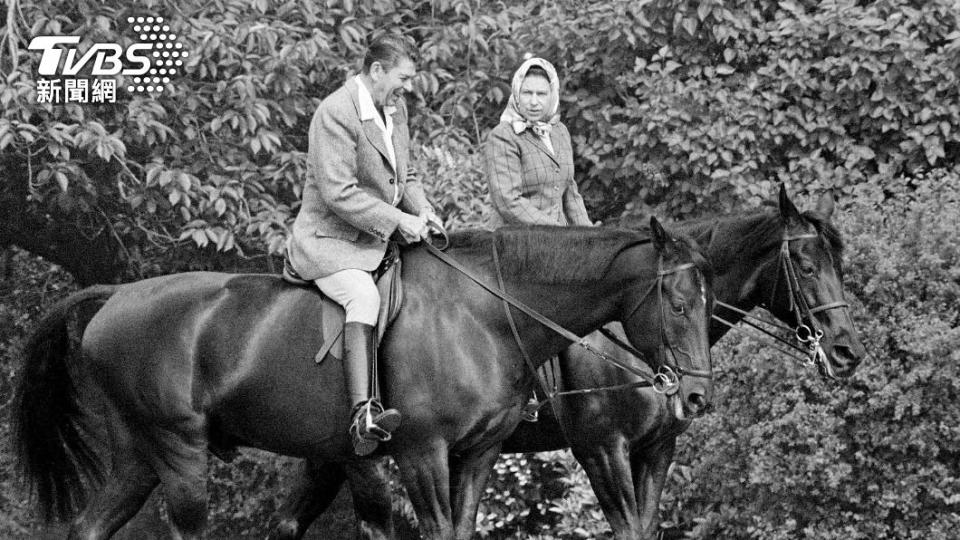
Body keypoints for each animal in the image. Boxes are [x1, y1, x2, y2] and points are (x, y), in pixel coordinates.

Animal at [13, 220, 712, 540]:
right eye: (679, 304)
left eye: (709, 302)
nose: (696, 395)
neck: (484, 312)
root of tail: (115, 297)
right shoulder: (423, 453)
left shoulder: (477, 455)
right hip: (179, 453)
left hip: (139, 455)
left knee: (90, 526)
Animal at [268, 187, 864, 540]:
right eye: (805, 264)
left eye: (838, 262)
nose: (847, 352)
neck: (626, 335)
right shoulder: (602, 449)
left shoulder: (657, 450)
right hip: (367, 459)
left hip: (331, 455)